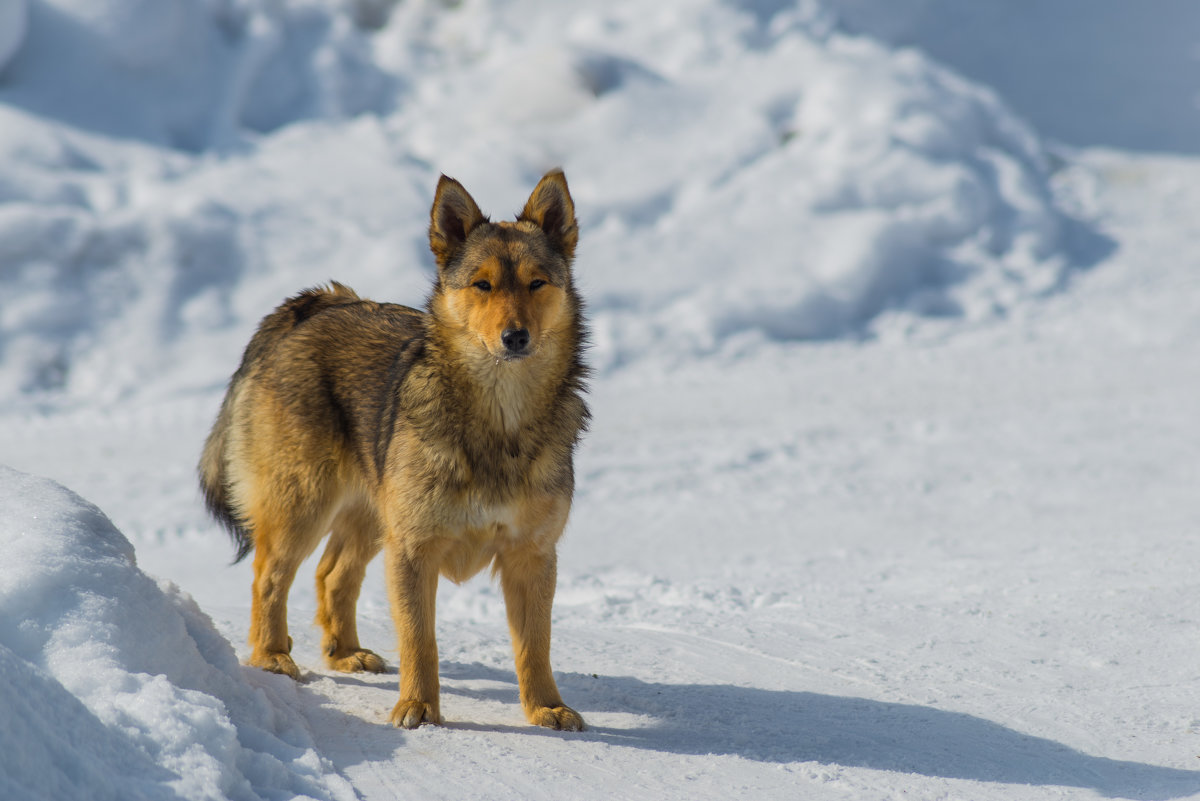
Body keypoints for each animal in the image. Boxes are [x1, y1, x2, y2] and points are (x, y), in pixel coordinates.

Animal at [200, 170, 590, 733]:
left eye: (538, 283)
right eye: (483, 285)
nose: (515, 337)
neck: (499, 417)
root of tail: (315, 305)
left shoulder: (532, 555)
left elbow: (535, 646)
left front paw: (546, 708)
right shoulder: (412, 549)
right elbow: (419, 640)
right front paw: (420, 708)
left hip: (370, 512)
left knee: (331, 574)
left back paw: (344, 653)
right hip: (304, 505)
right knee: (268, 577)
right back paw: (272, 656)